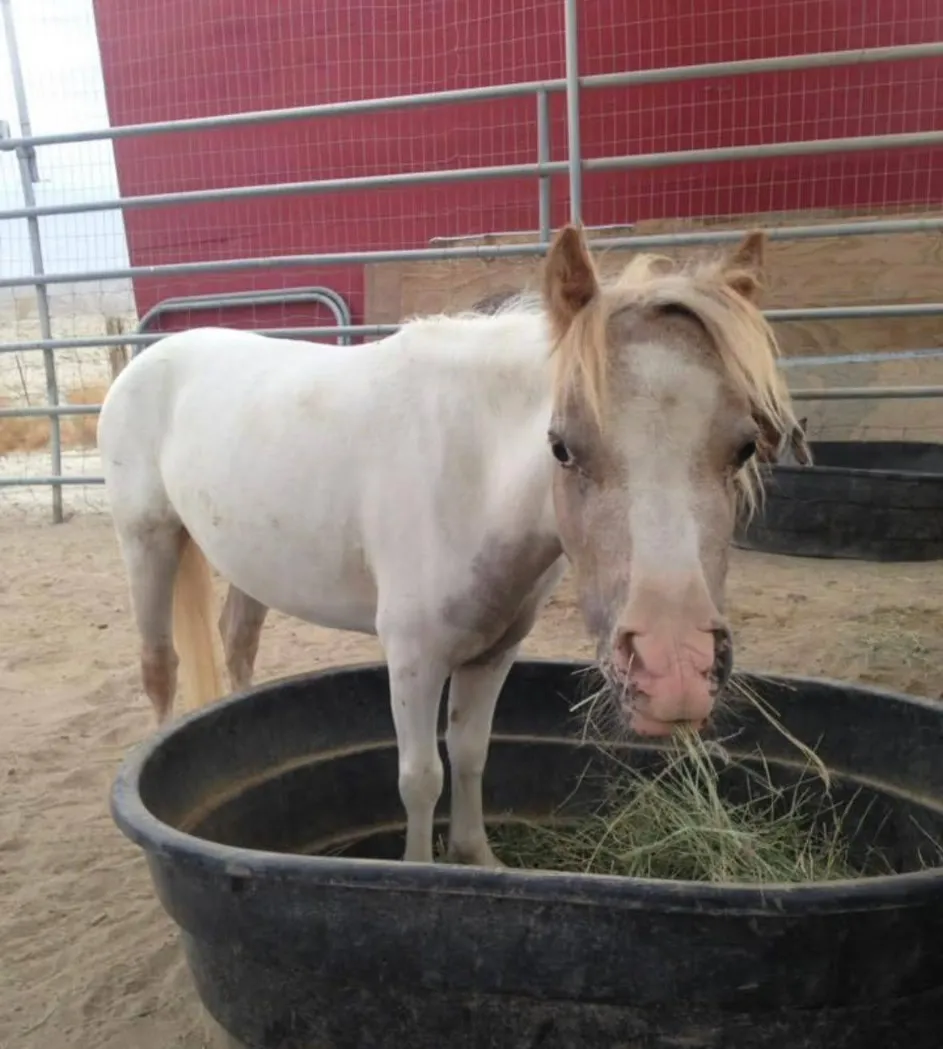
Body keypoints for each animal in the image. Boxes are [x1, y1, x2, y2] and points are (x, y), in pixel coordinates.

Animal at [98, 223, 801, 868]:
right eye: (562, 447)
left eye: (744, 446)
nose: (674, 670)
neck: (472, 471)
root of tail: (150, 357)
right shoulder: (413, 658)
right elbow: (420, 777)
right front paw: (418, 870)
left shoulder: (492, 652)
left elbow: (468, 755)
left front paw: (475, 857)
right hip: (146, 540)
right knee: (159, 664)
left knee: (237, 640)